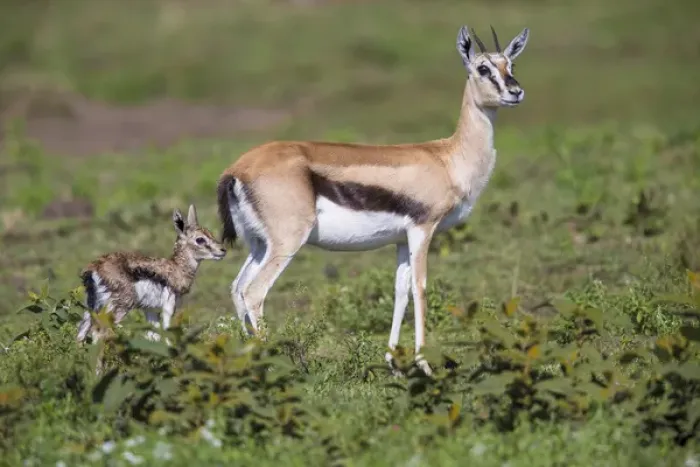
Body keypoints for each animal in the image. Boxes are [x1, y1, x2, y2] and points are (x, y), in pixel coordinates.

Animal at [76, 205, 227, 344]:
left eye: (210, 233)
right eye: (200, 239)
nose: (222, 250)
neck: (177, 269)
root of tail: (94, 267)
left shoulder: (150, 310)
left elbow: (153, 336)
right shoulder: (168, 306)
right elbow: (166, 331)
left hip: (91, 307)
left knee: (81, 333)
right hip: (119, 306)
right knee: (99, 331)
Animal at [216, 25, 530, 375]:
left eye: (510, 65)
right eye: (483, 68)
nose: (515, 92)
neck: (447, 159)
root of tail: (237, 169)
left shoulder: (401, 240)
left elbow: (400, 291)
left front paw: (394, 363)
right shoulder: (423, 229)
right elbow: (420, 288)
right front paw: (424, 365)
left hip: (259, 244)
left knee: (238, 288)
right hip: (287, 242)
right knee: (255, 292)